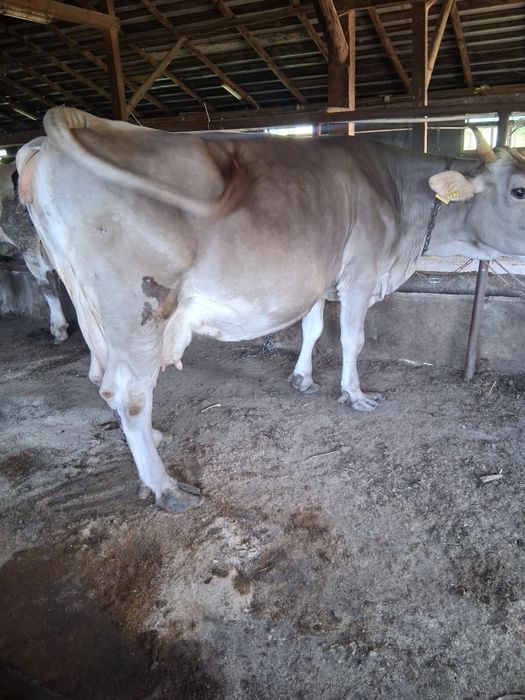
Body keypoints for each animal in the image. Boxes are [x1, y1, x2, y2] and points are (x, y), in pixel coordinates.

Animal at [16, 106, 525, 512]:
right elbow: (352, 338)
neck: (397, 196)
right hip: (138, 307)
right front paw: (354, 394)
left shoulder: (318, 276)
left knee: (102, 380)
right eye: (519, 190)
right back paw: (164, 486)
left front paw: (303, 379)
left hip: (87, 302)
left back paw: (151, 440)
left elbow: (313, 328)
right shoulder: (360, 275)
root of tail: (49, 142)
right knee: (130, 393)